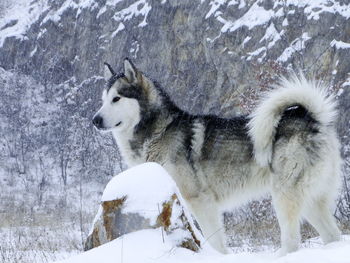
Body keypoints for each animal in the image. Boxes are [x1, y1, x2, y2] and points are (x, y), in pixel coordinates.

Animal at [93, 58, 342, 256]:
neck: (159, 131)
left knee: (292, 242)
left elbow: (215, 242)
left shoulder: (201, 202)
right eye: (103, 99)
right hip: (311, 201)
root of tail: (314, 119)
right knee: (333, 235)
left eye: (117, 98)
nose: (95, 120)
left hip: (284, 196)